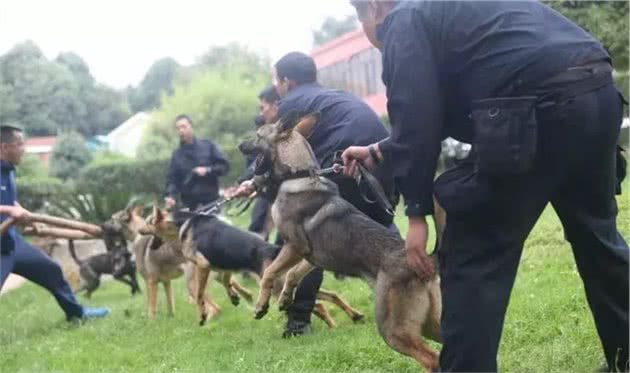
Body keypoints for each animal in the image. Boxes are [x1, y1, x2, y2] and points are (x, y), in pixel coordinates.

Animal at [138, 206, 366, 328]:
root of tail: (273, 249)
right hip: (287, 285)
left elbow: (200, 293)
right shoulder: (222, 264)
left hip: (276, 290)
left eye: (148, 221)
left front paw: (202, 314)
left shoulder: (203, 265)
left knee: (317, 305)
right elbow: (226, 280)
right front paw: (234, 297)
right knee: (330, 297)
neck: (183, 222)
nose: (139, 231)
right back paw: (352, 317)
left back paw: (333, 325)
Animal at [241, 112, 444, 370]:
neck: (300, 174)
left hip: (393, 329)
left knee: (431, 359)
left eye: (257, 136)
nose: (240, 145)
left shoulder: (295, 246)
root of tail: (426, 263)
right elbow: (292, 275)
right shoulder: (311, 257)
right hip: (429, 325)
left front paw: (261, 306)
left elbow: (270, 273)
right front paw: (285, 297)